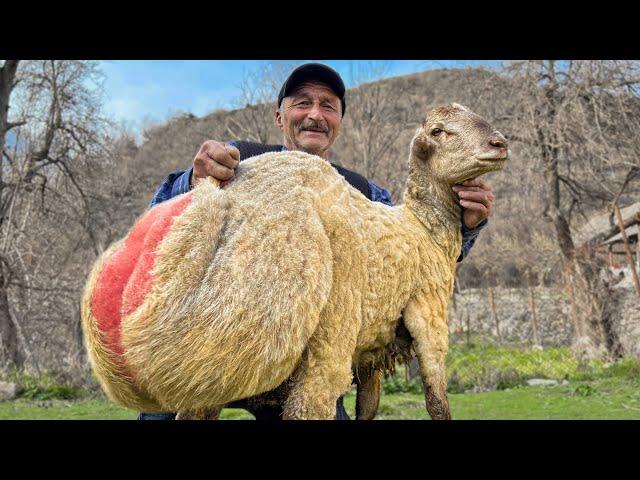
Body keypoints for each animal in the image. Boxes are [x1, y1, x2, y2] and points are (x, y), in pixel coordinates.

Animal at [82, 103, 508, 418]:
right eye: (438, 131)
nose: (500, 143)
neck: (424, 228)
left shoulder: (372, 350)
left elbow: (369, 406)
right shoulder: (429, 315)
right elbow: (437, 402)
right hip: (323, 338)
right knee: (312, 400)